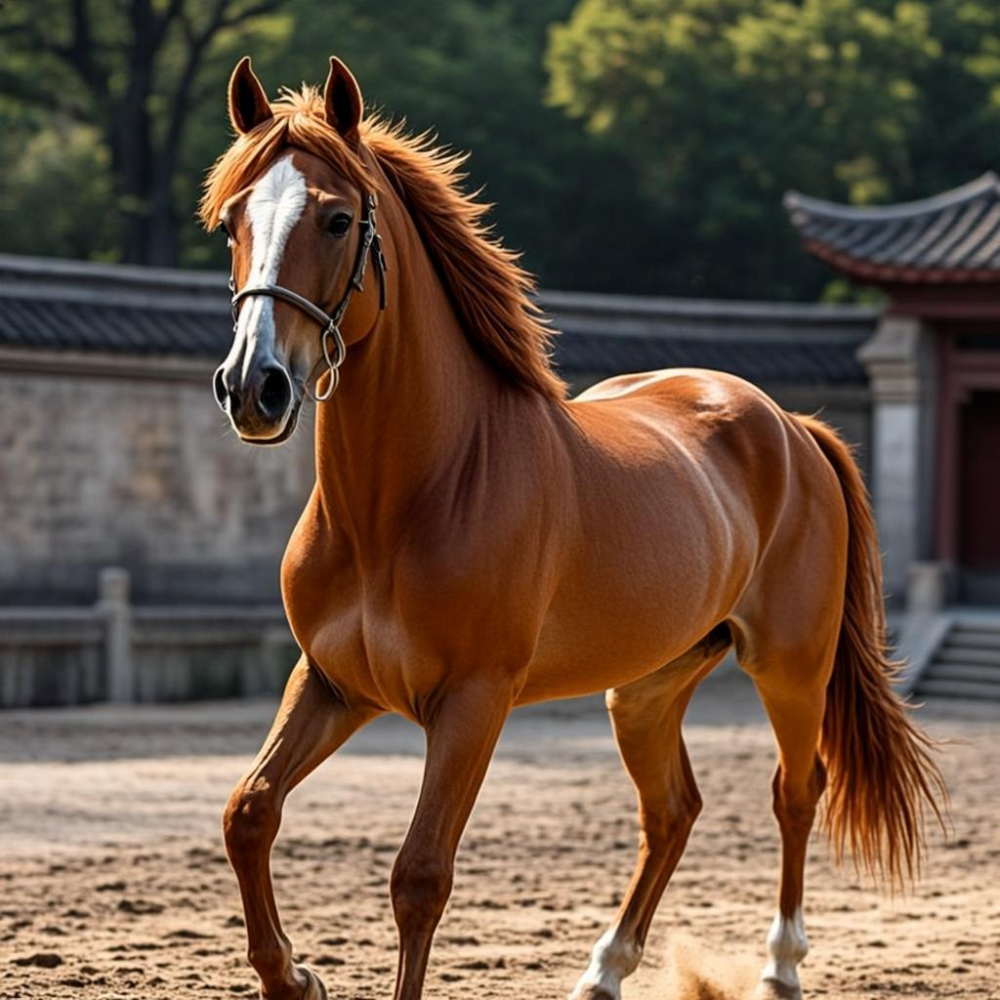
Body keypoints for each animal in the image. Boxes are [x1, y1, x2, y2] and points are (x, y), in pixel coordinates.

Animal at [201, 55, 946, 1000]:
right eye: (232, 220)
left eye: (336, 219)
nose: (252, 386)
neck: (404, 503)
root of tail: (790, 424)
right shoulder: (333, 683)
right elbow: (248, 812)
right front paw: (294, 978)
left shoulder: (472, 702)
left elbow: (419, 876)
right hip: (648, 685)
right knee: (672, 809)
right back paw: (603, 971)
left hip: (790, 663)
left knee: (795, 789)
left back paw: (780, 965)